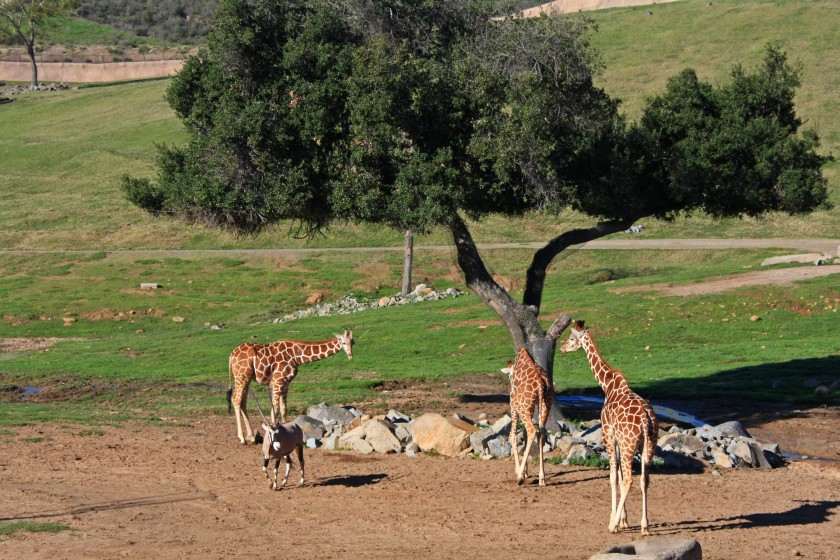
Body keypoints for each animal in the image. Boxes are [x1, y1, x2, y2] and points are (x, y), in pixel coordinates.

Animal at [508, 346, 556, 486]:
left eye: (509, 376)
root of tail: (540, 383)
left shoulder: (514, 406)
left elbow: (512, 436)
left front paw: (520, 472)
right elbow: (523, 434)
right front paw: (526, 471)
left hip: (522, 407)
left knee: (532, 430)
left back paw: (520, 478)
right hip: (545, 403)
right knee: (541, 432)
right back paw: (542, 478)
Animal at [560, 320, 660, 532]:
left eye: (571, 338)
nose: (562, 348)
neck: (607, 385)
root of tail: (646, 419)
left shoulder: (608, 435)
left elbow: (613, 477)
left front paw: (615, 520)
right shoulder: (620, 441)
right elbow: (620, 476)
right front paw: (624, 520)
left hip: (629, 444)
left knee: (629, 479)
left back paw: (613, 525)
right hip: (648, 445)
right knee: (644, 479)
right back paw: (645, 526)